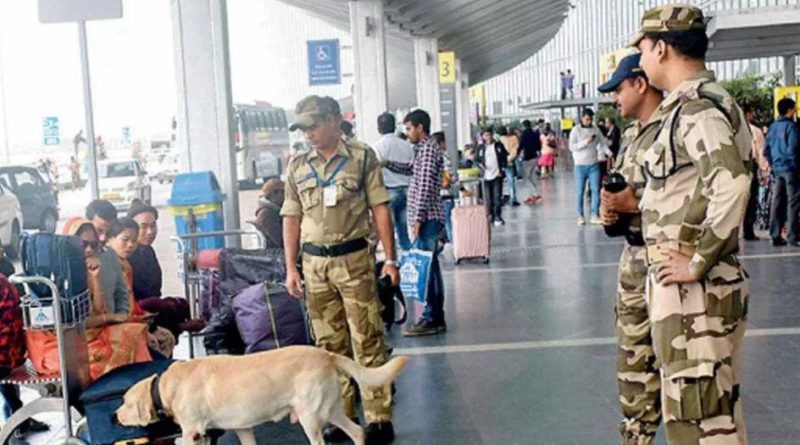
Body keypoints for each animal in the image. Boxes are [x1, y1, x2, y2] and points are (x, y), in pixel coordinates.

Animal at [115, 344, 410, 444]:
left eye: (125, 402)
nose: (113, 417)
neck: (166, 387)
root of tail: (326, 354)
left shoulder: (192, 432)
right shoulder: (242, 428)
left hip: (310, 418)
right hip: (331, 410)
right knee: (356, 431)